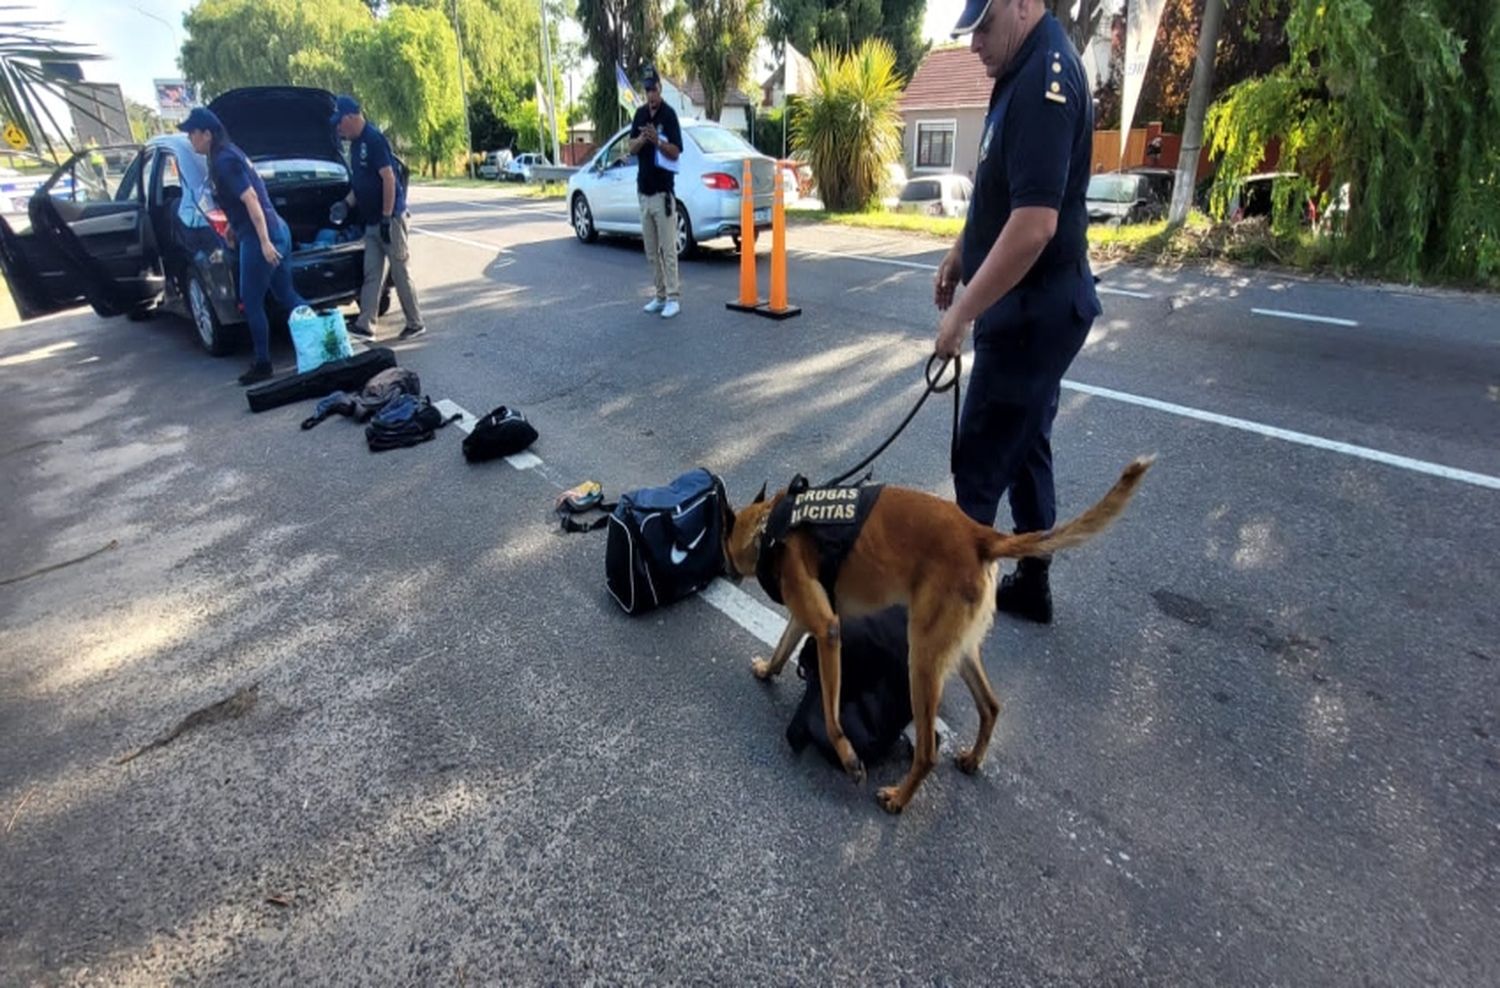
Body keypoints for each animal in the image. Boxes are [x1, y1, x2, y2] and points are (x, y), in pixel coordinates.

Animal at [720, 455, 1152, 809]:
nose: (723, 571)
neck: (770, 527)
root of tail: (980, 536)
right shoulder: (806, 617)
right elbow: (783, 647)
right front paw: (767, 670)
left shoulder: (827, 630)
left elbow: (830, 714)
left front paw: (848, 757)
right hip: (956, 650)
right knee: (991, 706)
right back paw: (973, 758)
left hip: (923, 660)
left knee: (927, 753)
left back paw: (898, 799)